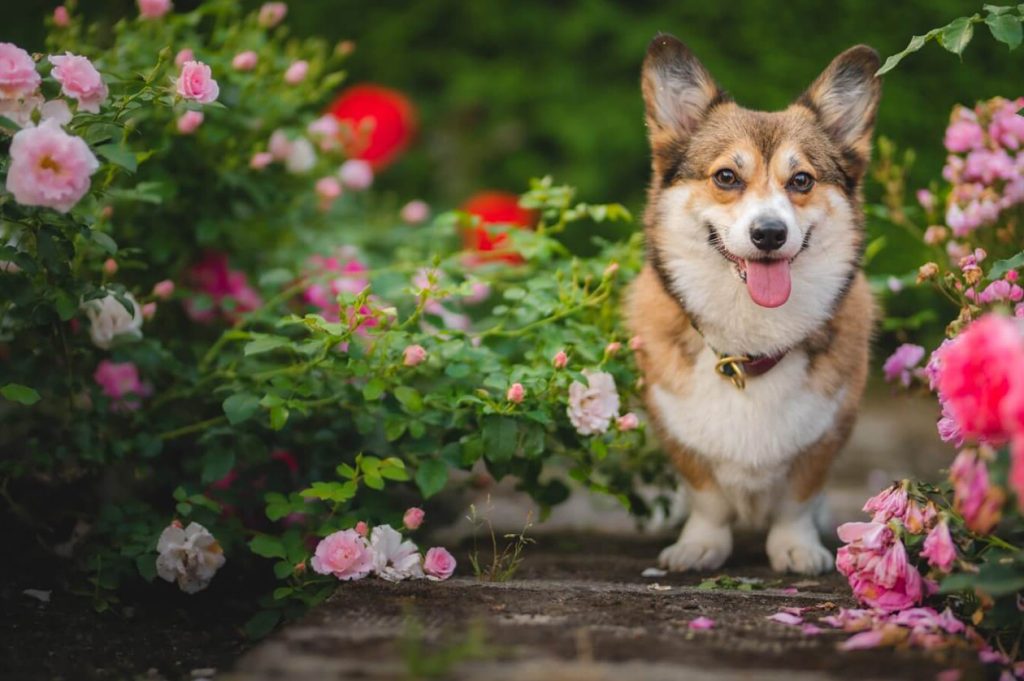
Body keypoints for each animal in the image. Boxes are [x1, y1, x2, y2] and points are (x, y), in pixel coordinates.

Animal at [626, 37, 884, 573]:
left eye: (801, 181)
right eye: (726, 176)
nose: (769, 233)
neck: (749, 347)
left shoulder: (827, 433)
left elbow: (798, 499)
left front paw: (796, 547)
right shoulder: (677, 432)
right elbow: (706, 496)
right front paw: (700, 545)